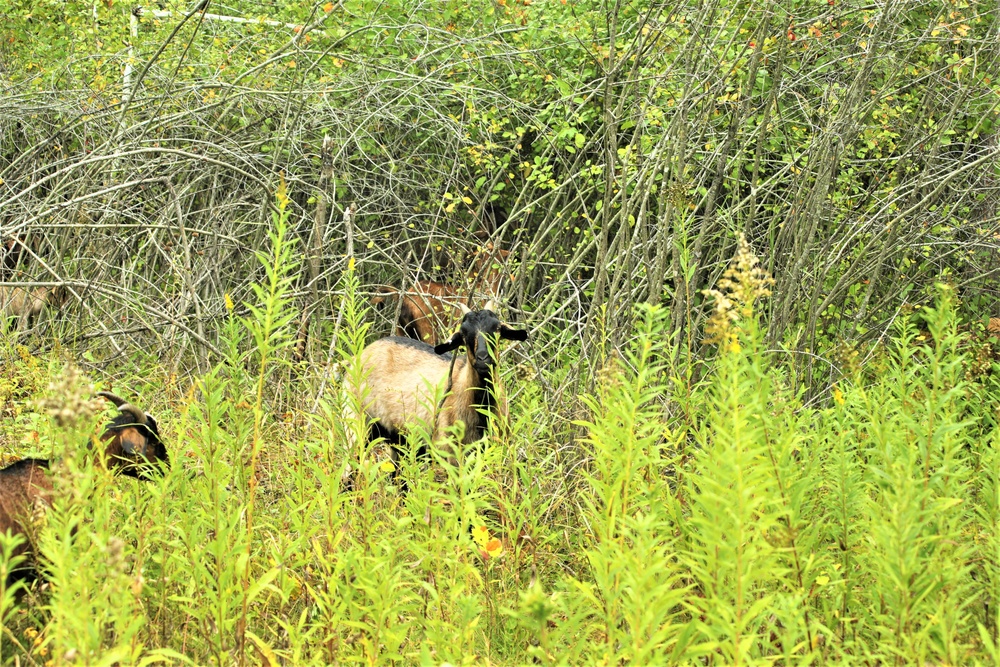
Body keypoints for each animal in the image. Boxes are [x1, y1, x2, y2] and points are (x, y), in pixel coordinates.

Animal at [348, 302, 528, 480]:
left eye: (497, 328)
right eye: (463, 334)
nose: (483, 359)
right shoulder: (451, 456)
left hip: (399, 443)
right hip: (357, 426)